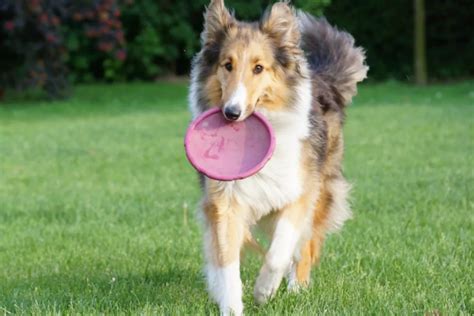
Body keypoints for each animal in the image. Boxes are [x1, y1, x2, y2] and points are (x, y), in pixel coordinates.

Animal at [188, 0, 366, 314]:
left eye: (258, 68)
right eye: (227, 65)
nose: (231, 113)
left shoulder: (299, 193)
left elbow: (279, 252)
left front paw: (264, 291)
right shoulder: (224, 201)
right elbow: (227, 261)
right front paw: (231, 305)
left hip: (323, 191)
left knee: (305, 245)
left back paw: (297, 288)